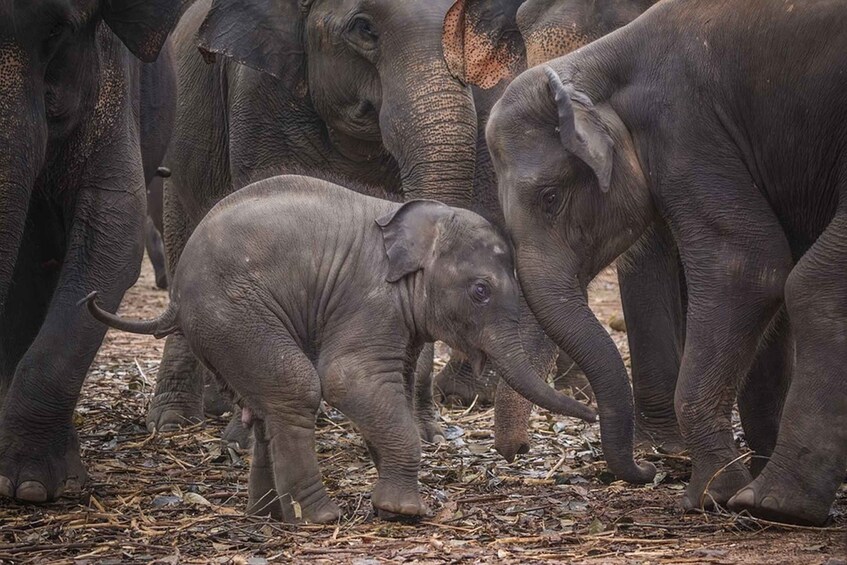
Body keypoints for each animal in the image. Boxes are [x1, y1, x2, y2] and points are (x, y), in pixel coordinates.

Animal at [83, 174, 592, 524]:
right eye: (481, 291)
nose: (590, 412)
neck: (416, 223)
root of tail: (174, 297)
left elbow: (392, 387)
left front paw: (391, 502)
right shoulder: (370, 301)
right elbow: (349, 379)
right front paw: (404, 511)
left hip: (221, 328)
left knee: (265, 407)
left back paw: (269, 516)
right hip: (232, 312)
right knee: (297, 389)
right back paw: (319, 517)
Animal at [486, 0, 844, 524]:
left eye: (550, 199)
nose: (647, 469)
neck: (601, 62)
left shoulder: (686, 130)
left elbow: (746, 267)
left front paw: (711, 496)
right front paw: (736, 480)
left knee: (813, 284)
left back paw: (776, 505)